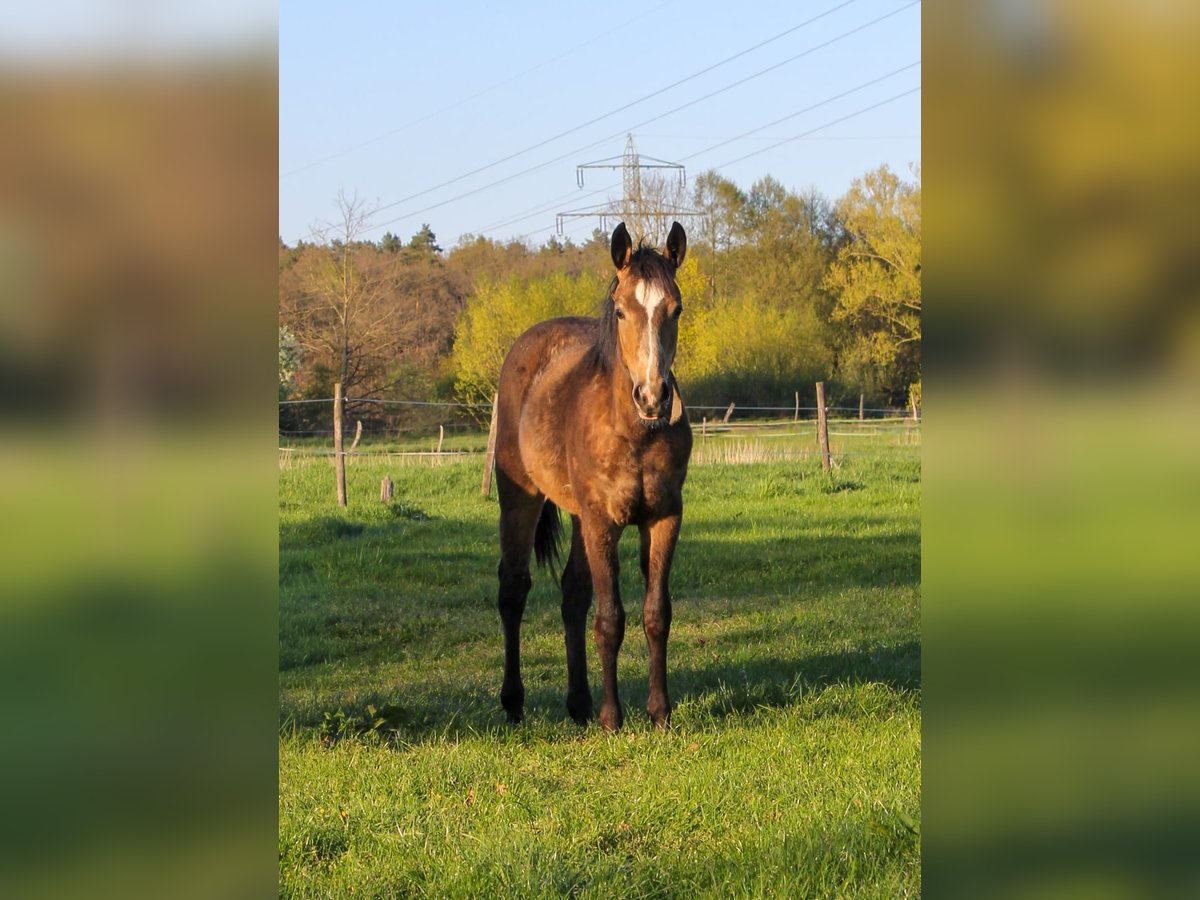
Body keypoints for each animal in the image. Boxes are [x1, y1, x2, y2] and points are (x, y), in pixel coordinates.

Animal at [492, 221, 693, 731]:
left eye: (676, 309)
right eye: (621, 311)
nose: (653, 397)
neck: (633, 430)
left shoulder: (663, 518)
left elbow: (655, 614)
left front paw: (659, 712)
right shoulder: (604, 520)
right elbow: (610, 619)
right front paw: (613, 718)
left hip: (580, 515)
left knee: (572, 594)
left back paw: (578, 704)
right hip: (520, 499)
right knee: (513, 588)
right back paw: (514, 703)